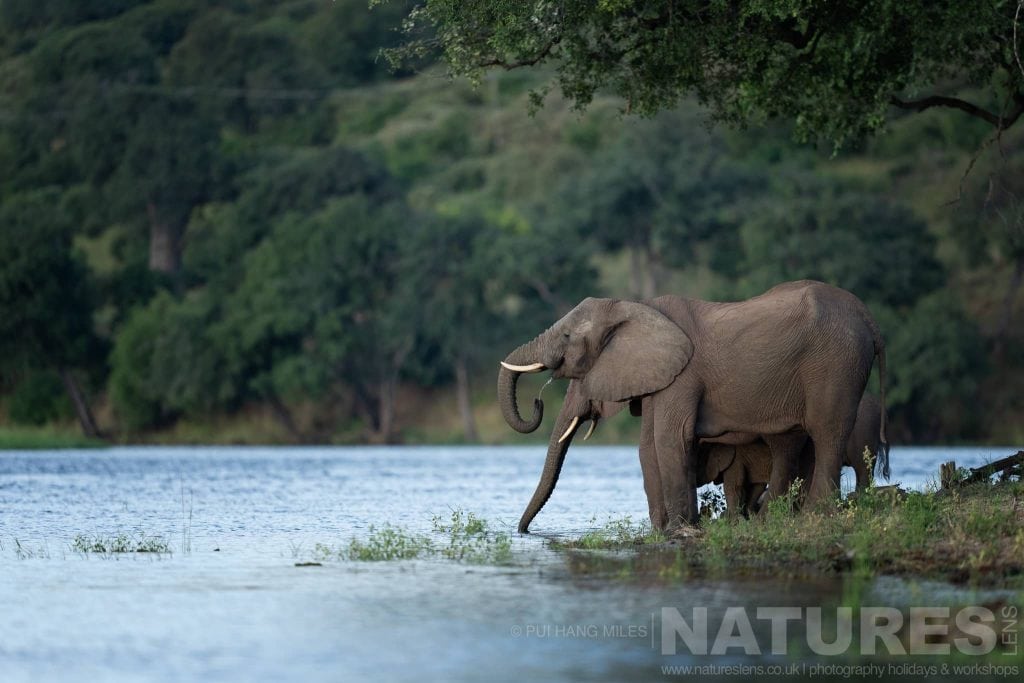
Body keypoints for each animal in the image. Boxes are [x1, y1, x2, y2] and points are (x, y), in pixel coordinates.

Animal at [499, 280, 888, 531]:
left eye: (567, 336)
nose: (523, 532)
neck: (636, 308)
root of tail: (869, 318)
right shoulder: (663, 376)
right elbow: (648, 445)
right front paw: (670, 530)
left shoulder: (684, 375)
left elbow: (669, 439)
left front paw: (680, 530)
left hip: (837, 364)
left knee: (827, 434)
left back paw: (812, 517)